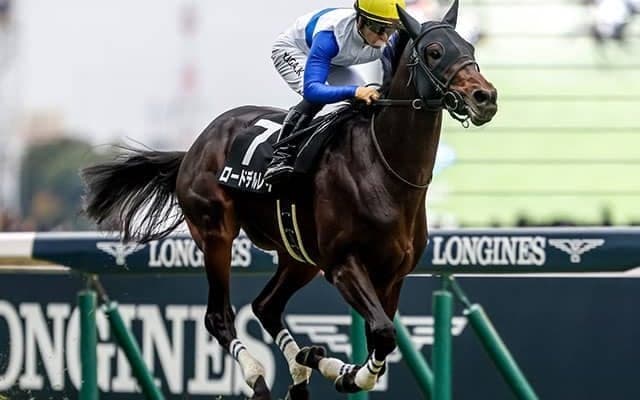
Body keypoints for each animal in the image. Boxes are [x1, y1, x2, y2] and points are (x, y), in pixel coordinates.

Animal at [80, 2, 497, 399]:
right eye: (433, 51)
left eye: (470, 47)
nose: (486, 97)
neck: (383, 169)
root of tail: (195, 146)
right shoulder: (343, 265)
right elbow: (382, 332)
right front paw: (343, 372)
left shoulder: (394, 275)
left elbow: (382, 340)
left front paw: (337, 369)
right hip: (216, 234)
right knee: (219, 316)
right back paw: (259, 378)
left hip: (298, 256)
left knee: (266, 306)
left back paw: (302, 370)